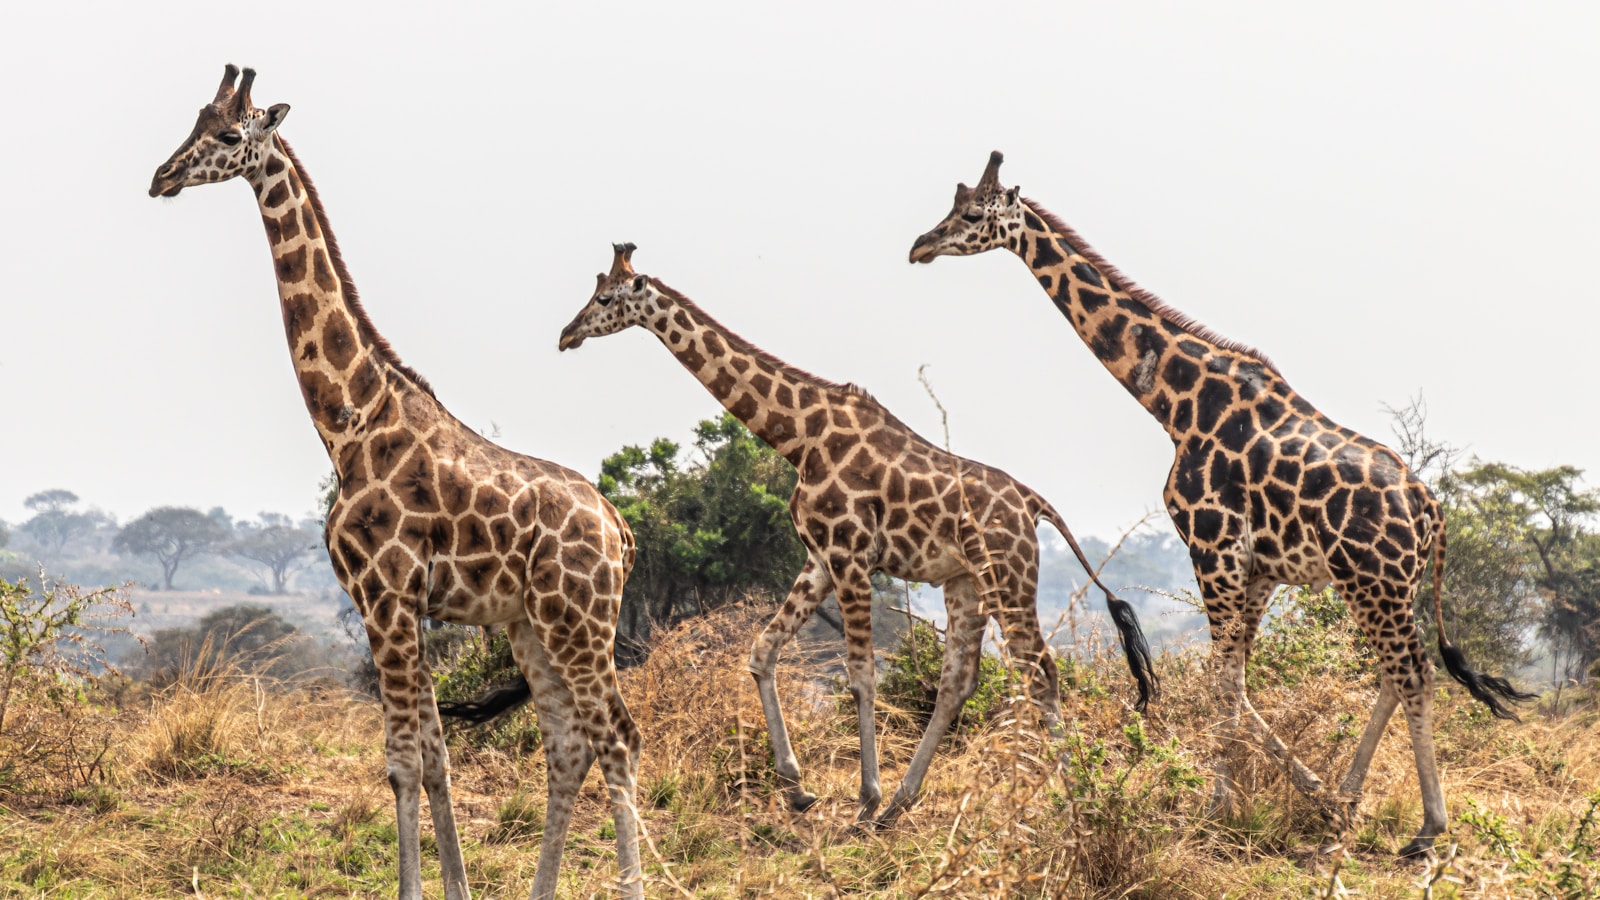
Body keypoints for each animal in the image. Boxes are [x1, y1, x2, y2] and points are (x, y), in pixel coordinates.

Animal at [147, 65, 645, 900]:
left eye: (228, 134)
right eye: (191, 121)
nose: (161, 177)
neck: (349, 424)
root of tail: (622, 531)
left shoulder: (384, 594)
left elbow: (404, 761)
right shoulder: (398, 603)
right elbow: (435, 756)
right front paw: (455, 887)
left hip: (580, 620)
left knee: (620, 739)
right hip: (532, 625)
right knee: (568, 745)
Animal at [548, 242, 1156, 829]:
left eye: (606, 299)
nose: (565, 334)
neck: (798, 437)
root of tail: (1033, 503)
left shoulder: (850, 555)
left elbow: (862, 675)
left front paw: (863, 798)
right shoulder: (819, 558)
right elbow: (762, 650)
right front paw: (798, 788)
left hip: (1008, 576)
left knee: (1041, 671)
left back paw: (1074, 797)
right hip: (966, 582)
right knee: (959, 680)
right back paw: (903, 804)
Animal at [908, 151, 1536, 857]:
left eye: (972, 215)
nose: (920, 245)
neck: (1174, 403)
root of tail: (1432, 510)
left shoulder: (1211, 547)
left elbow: (1221, 681)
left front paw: (1215, 810)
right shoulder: (1256, 568)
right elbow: (1234, 680)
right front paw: (1304, 793)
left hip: (1371, 577)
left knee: (1413, 672)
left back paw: (1428, 826)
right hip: (1378, 584)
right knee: (1393, 673)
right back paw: (1348, 801)